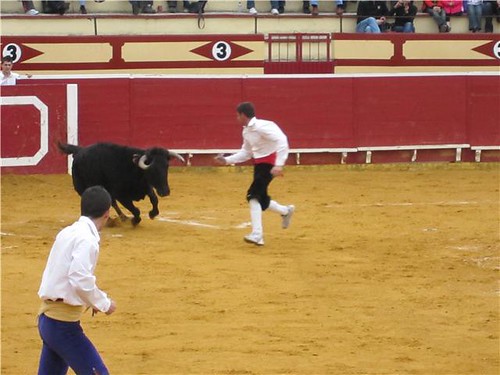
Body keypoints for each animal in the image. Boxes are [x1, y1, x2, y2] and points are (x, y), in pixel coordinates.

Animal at [57, 142, 186, 226]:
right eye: (152, 169)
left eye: (166, 167)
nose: (165, 192)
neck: (135, 169)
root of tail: (80, 151)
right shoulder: (121, 195)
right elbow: (135, 209)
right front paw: (135, 220)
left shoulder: (146, 187)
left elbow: (154, 199)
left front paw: (152, 214)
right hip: (81, 188)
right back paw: (110, 220)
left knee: (112, 202)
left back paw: (122, 217)